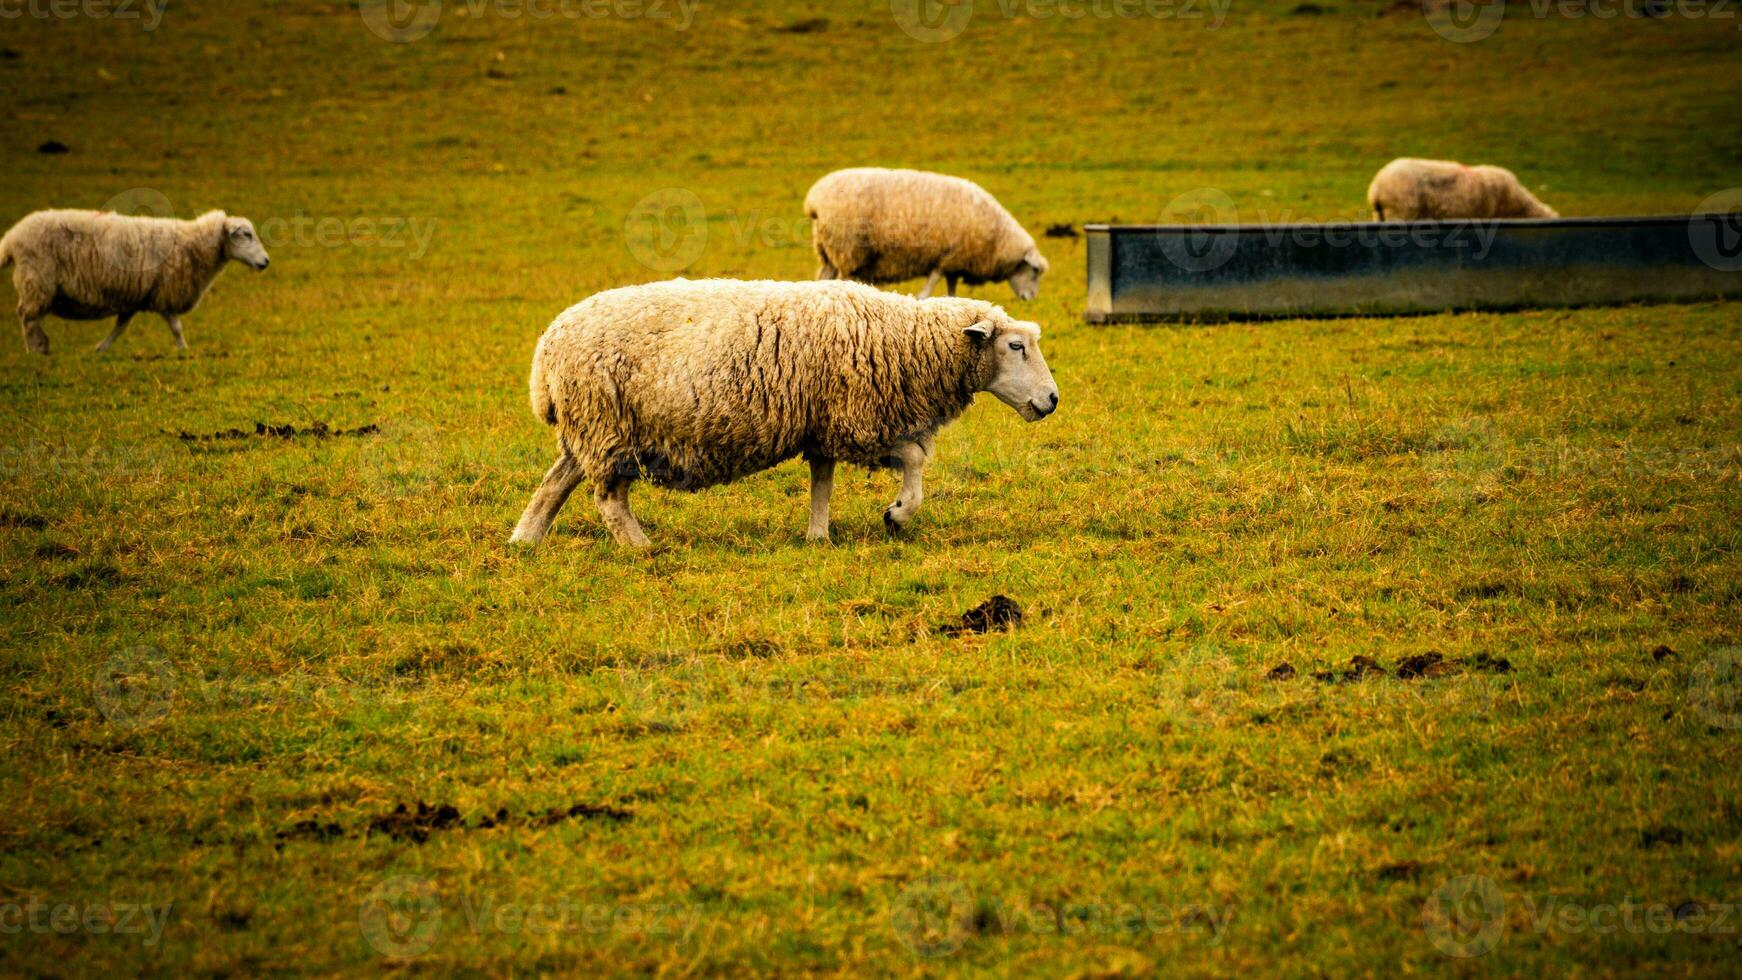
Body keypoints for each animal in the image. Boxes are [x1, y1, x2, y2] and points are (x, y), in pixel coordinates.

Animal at [0, 208, 268, 356]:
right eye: (246, 234)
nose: (265, 262)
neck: (192, 244)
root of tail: (11, 238)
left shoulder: (135, 295)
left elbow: (121, 327)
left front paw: (101, 348)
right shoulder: (165, 292)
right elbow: (176, 327)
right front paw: (184, 350)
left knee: (29, 317)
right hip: (37, 279)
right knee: (27, 317)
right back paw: (36, 349)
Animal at [508, 280, 1059, 550]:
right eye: (1015, 346)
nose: (1052, 399)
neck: (906, 338)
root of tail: (545, 353)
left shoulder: (825, 423)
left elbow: (822, 482)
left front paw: (818, 535)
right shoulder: (858, 421)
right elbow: (915, 459)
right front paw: (898, 514)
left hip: (591, 429)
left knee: (555, 484)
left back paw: (525, 541)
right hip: (608, 426)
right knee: (608, 499)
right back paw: (640, 546)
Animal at [804, 168, 1045, 301]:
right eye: (1034, 271)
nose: (1031, 298)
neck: (998, 238)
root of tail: (814, 200)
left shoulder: (954, 262)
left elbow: (951, 288)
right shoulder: (946, 256)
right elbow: (931, 284)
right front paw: (922, 298)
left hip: (828, 253)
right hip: (848, 250)